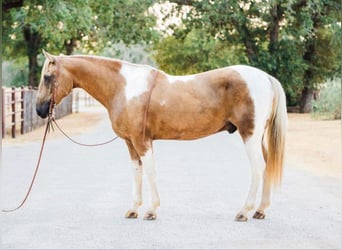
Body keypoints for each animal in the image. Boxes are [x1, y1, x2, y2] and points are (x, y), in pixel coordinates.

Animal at [36, 50, 288, 221]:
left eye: (48, 77)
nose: (39, 110)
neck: (124, 88)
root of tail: (265, 78)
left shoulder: (142, 141)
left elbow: (150, 172)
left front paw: (150, 210)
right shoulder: (130, 143)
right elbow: (137, 172)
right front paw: (133, 209)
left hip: (250, 135)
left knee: (258, 168)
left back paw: (244, 211)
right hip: (258, 138)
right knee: (266, 166)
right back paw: (260, 210)